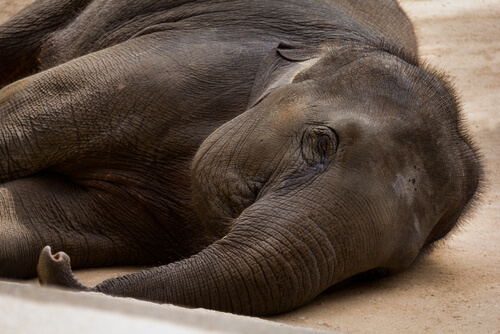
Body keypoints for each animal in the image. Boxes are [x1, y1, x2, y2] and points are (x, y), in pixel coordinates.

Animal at [0, 0, 484, 316]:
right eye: (323, 145)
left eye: (375, 274)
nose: (57, 262)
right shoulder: (185, 65)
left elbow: (33, 220)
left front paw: (46, 247)